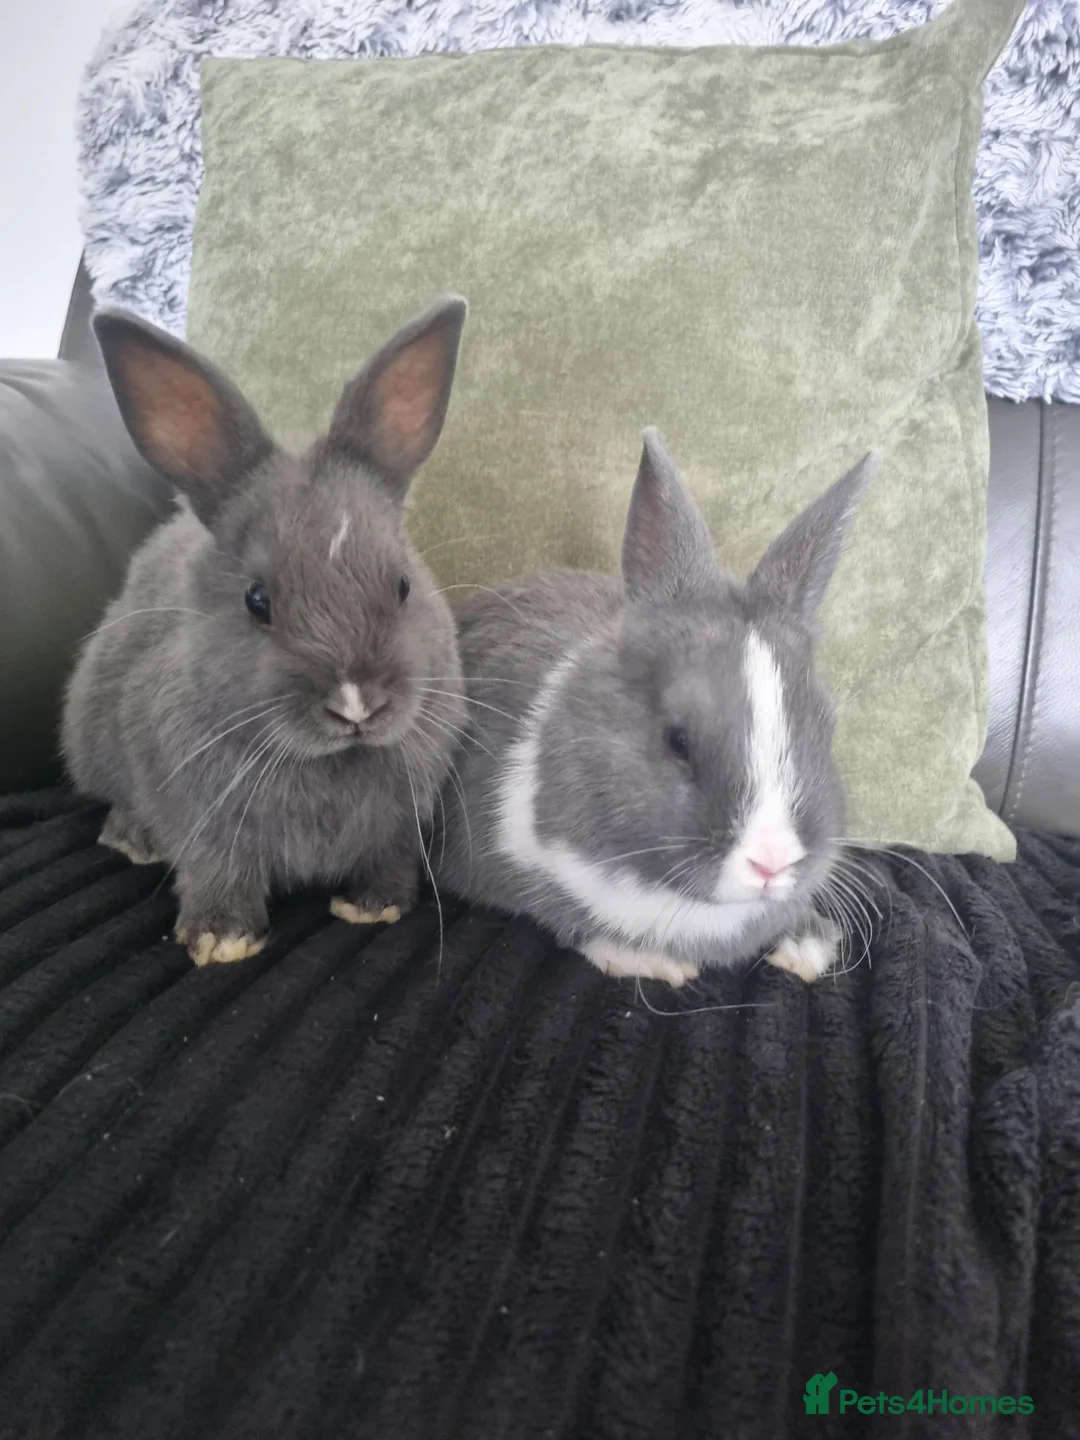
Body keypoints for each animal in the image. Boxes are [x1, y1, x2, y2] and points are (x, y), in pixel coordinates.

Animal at [62, 296, 468, 966]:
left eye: (403, 585)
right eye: (257, 600)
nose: (356, 704)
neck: (331, 762)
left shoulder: (398, 828)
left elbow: (388, 863)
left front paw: (375, 907)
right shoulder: (204, 827)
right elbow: (217, 873)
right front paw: (222, 940)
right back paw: (133, 838)